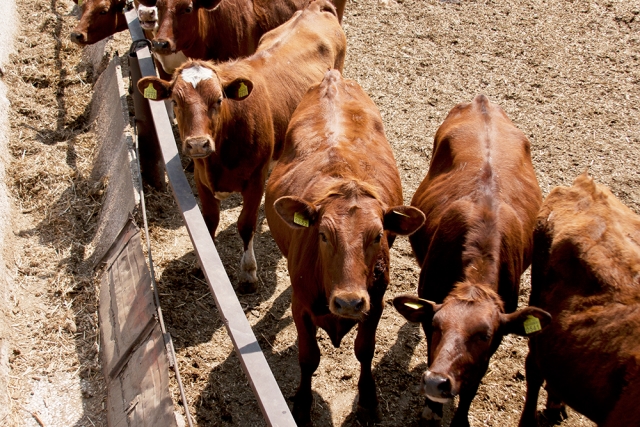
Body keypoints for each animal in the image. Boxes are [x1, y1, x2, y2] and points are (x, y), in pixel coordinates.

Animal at [134, 0, 344, 294]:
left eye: (219, 99)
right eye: (175, 101)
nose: (197, 144)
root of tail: (315, 8)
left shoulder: (255, 181)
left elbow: (246, 224)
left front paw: (248, 272)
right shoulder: (201, 178)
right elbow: (208, 221)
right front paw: (203, 264)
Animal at [264, 69, 424, 424]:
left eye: (378, 235)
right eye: (323, 235)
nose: (349, 302)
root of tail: (332, 78)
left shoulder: (375, 303)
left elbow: (365, 350)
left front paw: (368, 400)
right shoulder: (301, 307)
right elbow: (308, 357)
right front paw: (302, 405)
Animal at [392, 95, 552, 426]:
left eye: (484, 334)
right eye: (437, 325)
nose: (435, 382)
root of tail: (483, 103)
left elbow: (473, 384)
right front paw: (432, 409)